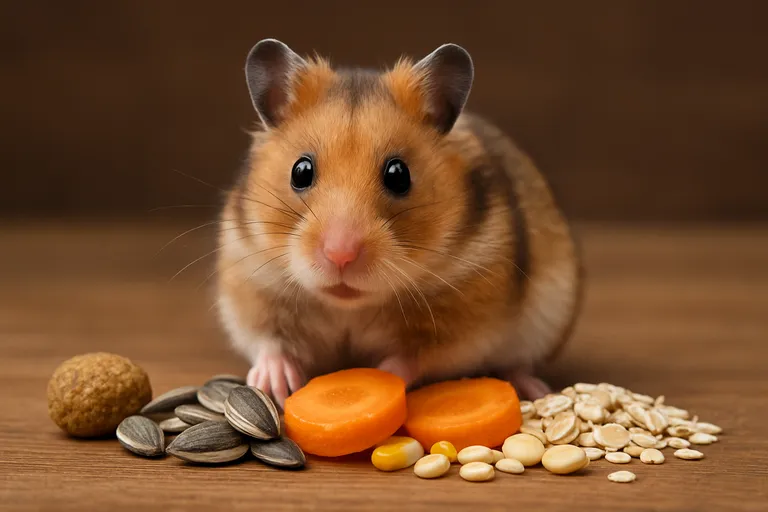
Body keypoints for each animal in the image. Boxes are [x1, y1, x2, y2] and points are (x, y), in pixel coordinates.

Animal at [215, 38, 584, 407]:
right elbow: (268, 340)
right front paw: (274, 384)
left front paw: (381, 377)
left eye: (398, 175)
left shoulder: (469, 309)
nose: (340, 256)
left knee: (517, 364)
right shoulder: (250, 280)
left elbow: (416, 356)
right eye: (300, 171)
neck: (350, 307)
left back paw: (536, 389)